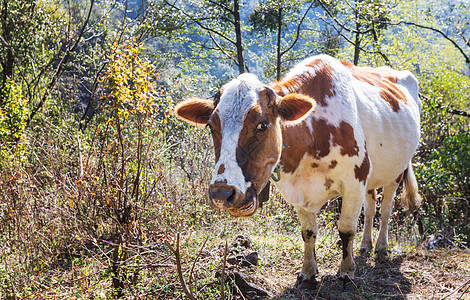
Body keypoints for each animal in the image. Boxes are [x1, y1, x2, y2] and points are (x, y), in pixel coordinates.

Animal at [173, 55, 422, 290]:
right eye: (211, 126)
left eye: (262, 124)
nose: (221, 193)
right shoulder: (297, 190)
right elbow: (308, 233)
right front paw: (308, 274)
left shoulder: (354, 181)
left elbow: (346, 230)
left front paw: (346, 273)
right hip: (373, 174)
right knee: (371, 208)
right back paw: (365, 246)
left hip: (396, 170)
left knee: (385, 209)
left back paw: (380, 247)